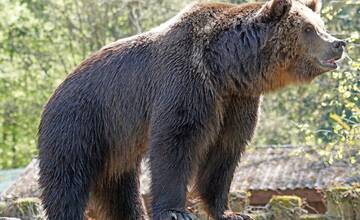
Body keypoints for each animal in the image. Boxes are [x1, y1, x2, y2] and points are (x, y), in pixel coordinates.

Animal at [37, 0, 346, 219]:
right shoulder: (187, 83)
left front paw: (230, 212)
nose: (338, 44)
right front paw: (177, 211)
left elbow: (224, 152)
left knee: (119, 187)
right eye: (308, 29)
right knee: (68, 177)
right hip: (82, 120)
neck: (226, 67)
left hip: (117, 141)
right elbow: (176, 141)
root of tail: (57, 89)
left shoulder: (236, 101)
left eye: (320, 24)